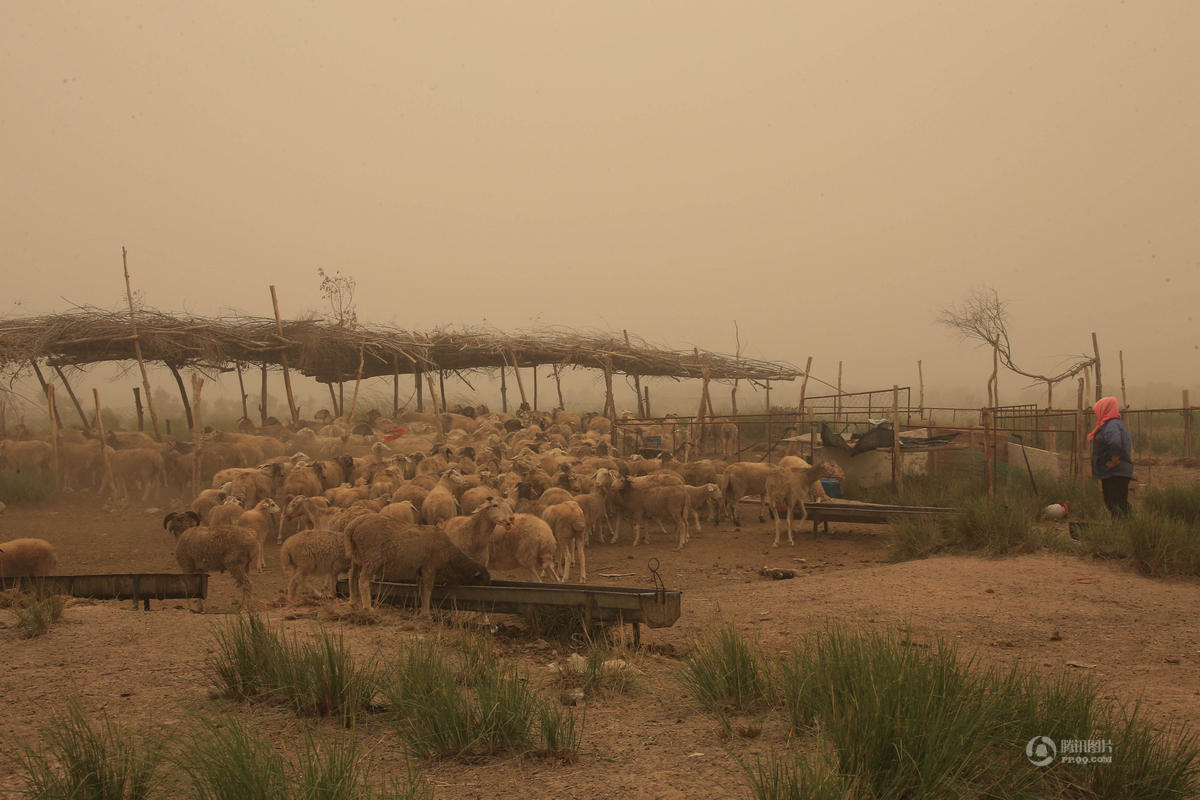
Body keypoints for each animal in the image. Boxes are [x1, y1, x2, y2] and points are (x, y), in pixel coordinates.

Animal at [340, 515, 489, 618]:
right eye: (483, 580)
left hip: (357, 557)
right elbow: (428, 590)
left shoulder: (420, 570)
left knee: (352, 576)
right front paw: (426, 614)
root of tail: (354, 525)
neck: (450, 555)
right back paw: (368, 608)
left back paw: (353, 602)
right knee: (363, 580)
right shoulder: (429, 568)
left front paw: (419, 609)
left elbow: (420, 590)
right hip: (372, 558)